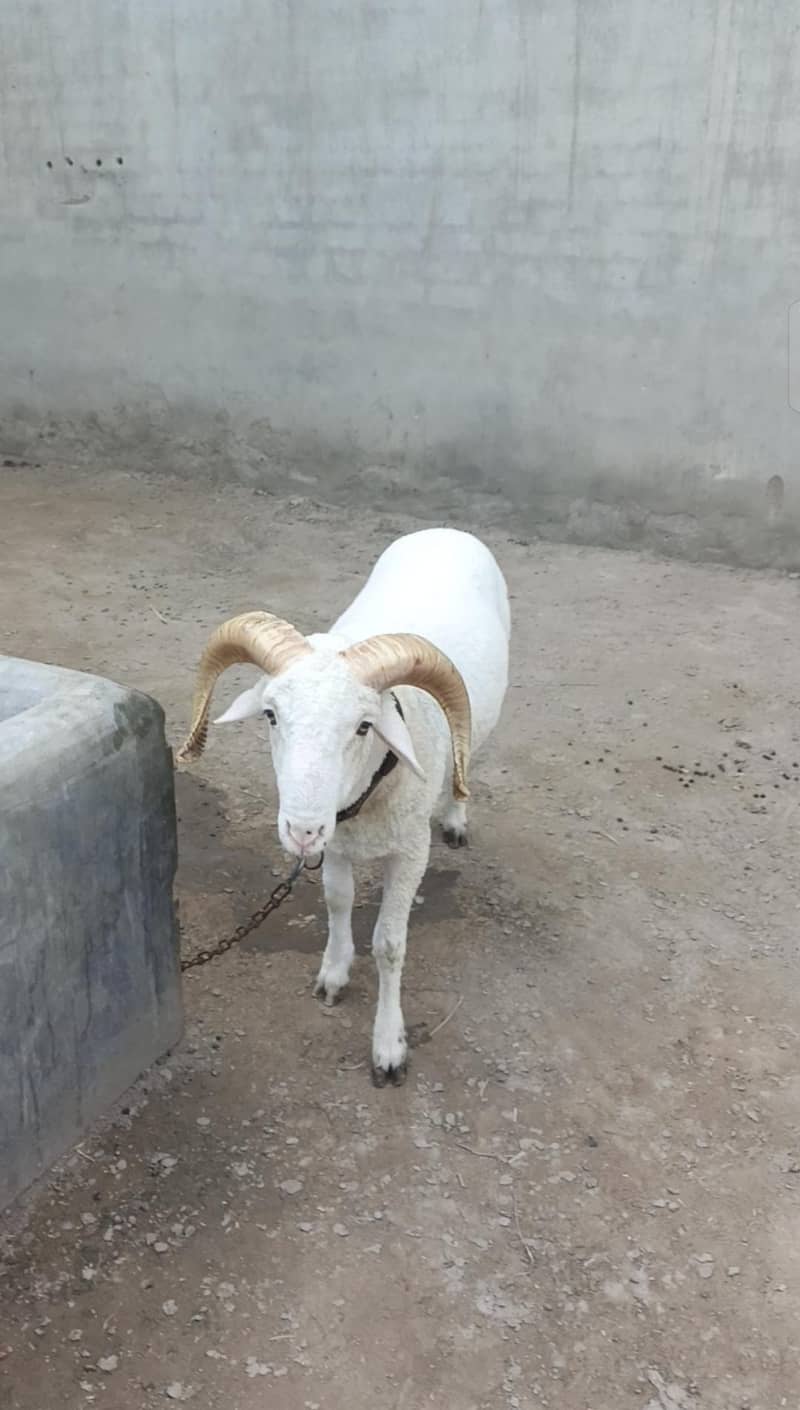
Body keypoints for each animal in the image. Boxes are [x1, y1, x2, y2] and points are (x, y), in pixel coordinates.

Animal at [178, 527, 510, 1085]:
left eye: (363, 726)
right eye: (270, 715)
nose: (301, 831)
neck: (369, 794)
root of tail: (445, 530)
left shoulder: (411, 852)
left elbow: (391, 945)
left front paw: (389, 1045)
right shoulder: (335, 841)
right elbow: (337, 902)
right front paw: (334, 974)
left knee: (468, 765)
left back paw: (456, 815)